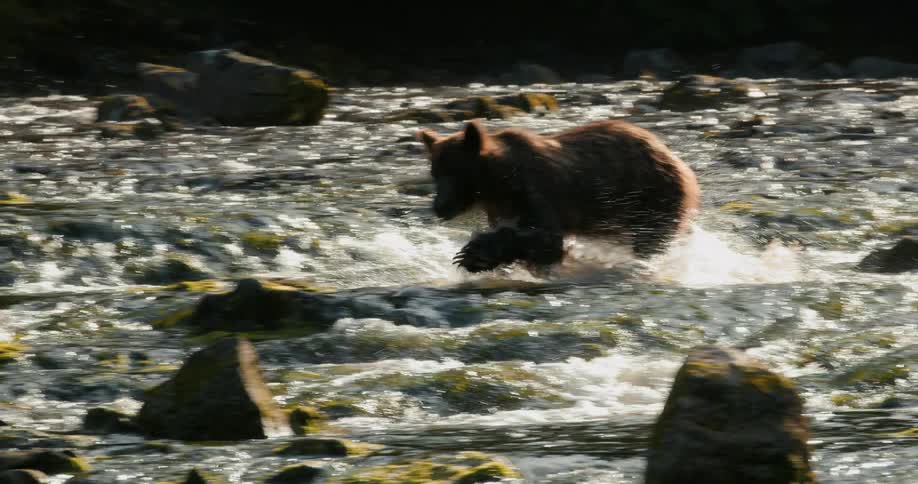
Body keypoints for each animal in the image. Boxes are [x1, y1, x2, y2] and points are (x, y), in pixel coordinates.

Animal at [416, 118, 701, 273]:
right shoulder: (501, 208)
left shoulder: (535, 192)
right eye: (435, 173)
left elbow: (546, 240)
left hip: (651, 196)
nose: (439, 206)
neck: (498, 184)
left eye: (456, 173)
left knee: (651, 239)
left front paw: (473, 253)